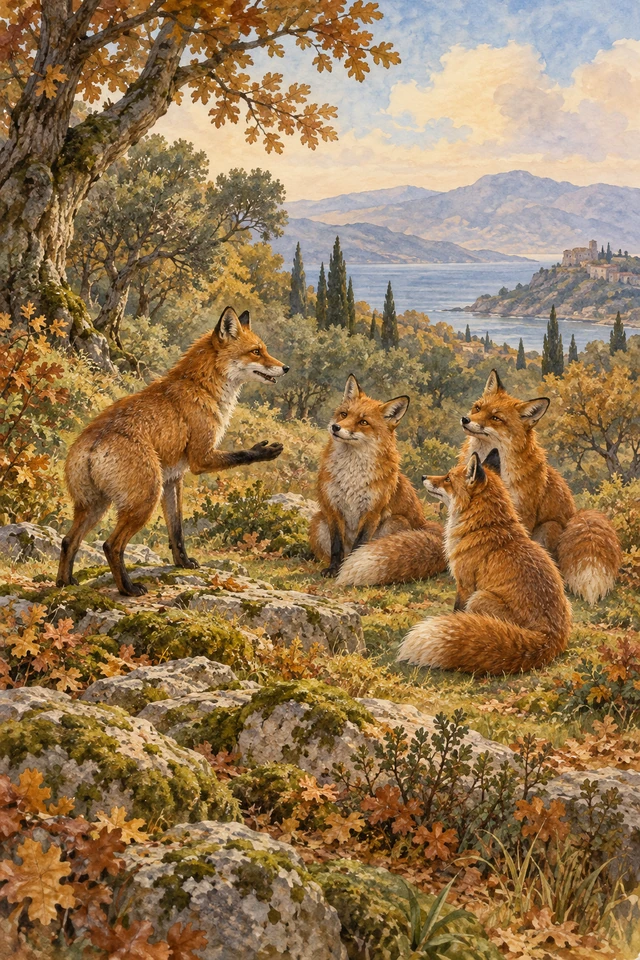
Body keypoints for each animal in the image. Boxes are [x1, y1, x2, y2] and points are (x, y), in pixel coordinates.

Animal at [57, 306, 288, 597]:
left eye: (263, 349)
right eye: (256, 351)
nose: (286, 368)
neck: (202, 387)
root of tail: (92, 443)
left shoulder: (173, 478)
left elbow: (176, 532)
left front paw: (183, 564)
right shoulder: (200, 459)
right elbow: (242, 455)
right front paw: (264, 451)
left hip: (96, 505)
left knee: (68, 541)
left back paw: (64, 584)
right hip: (143, 500)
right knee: (111, 545)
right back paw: (128, 589)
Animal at [309, 374, 446, 584]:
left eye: (363, 422)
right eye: (344, 414)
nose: (335, 427)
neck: (352, 473)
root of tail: (424, 524)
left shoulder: (372, 511)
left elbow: (359, 545)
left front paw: (347, 568)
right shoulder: (333, 508)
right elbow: (336, 547)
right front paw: (333, 569)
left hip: (395, 522)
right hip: (318, 521)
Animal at [397, 451, 572, 675]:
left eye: (447, 478)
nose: (423, 477)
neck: (483, 526)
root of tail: (549, 637)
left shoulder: (465, 584)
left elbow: (457, 611)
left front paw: (454, 625)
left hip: (479, 597)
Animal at [460, 370, 622, 604]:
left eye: (496, 418)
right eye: (478, 408)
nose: (465, 419)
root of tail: (576, 514)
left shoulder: (523, 512)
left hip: (549, 527)